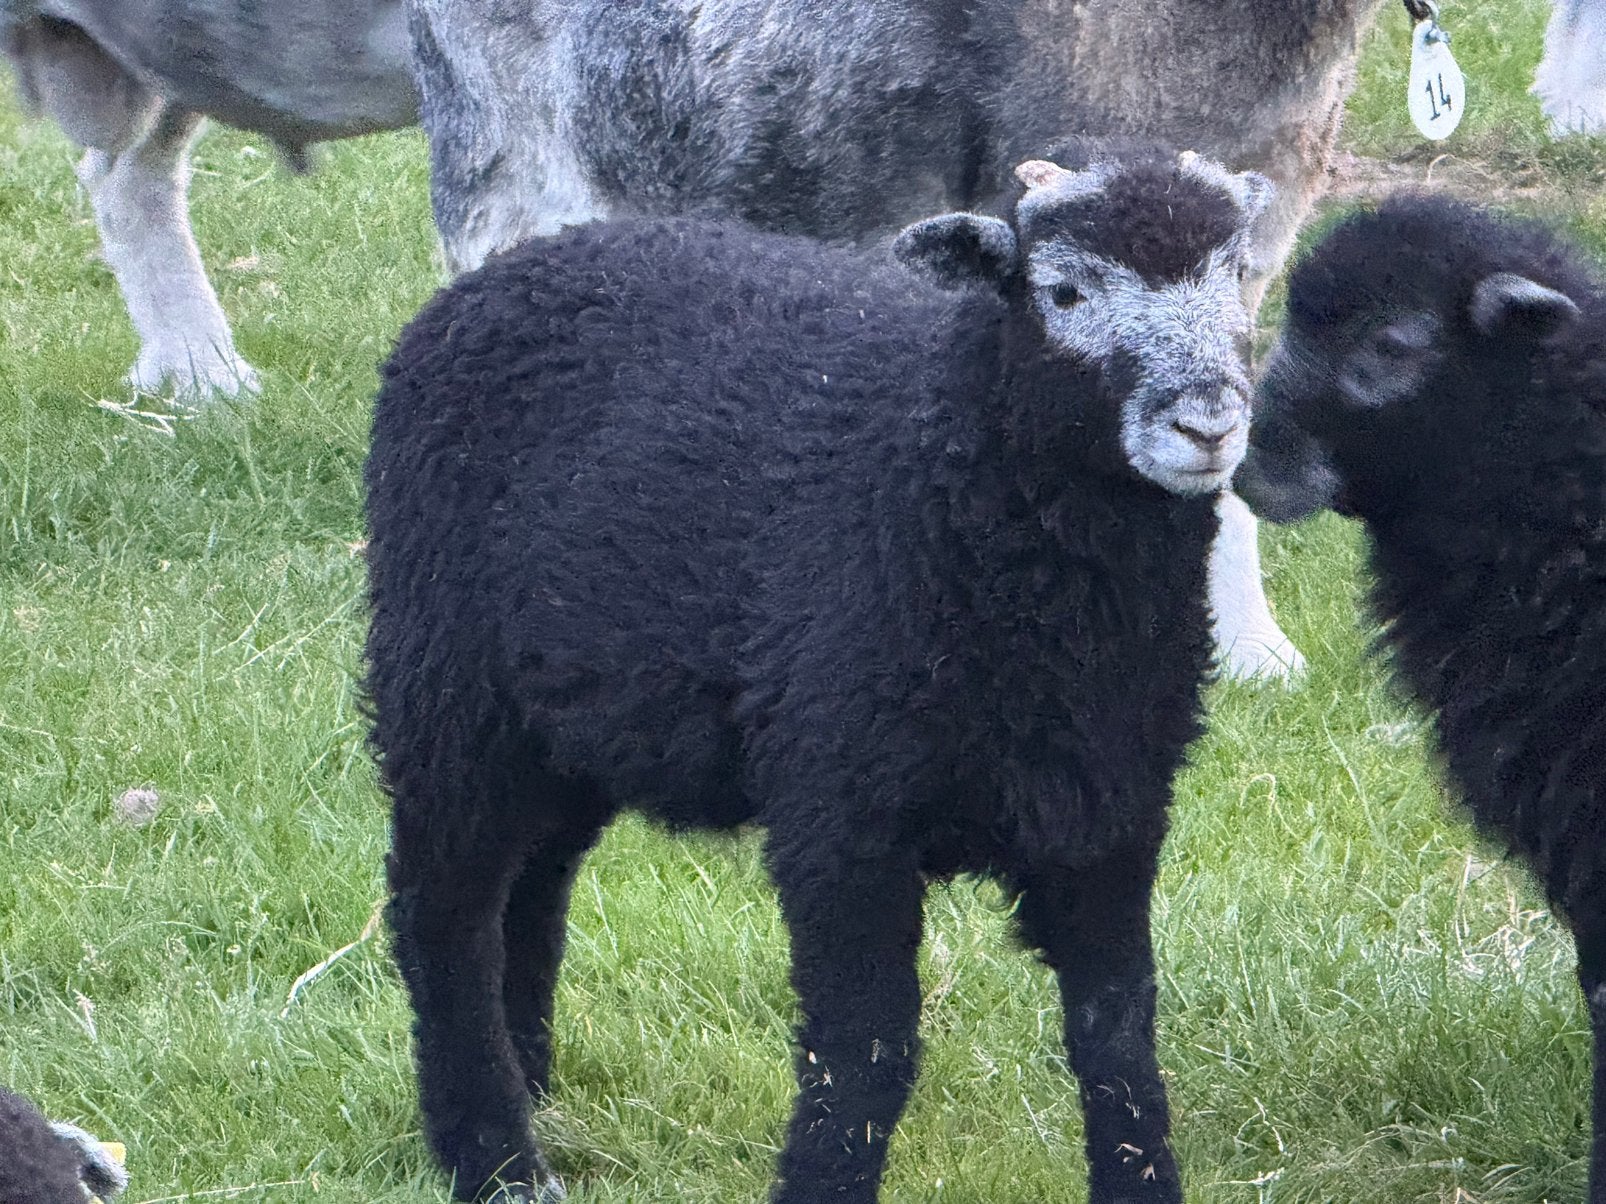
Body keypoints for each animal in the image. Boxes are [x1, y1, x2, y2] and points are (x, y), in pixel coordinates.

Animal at [365, 147, 1272, 1203]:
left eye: (1237, 278)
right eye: (1065, 292)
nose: (1206, 422)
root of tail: (496, 276)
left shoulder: (1109, 810)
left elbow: (1117, 1036)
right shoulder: (841, 810)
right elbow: (864, 1051)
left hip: (568, 717)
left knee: (535, 887)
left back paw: (532, 1087)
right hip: (446, 684)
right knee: (445, 915)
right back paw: (493, 1155)